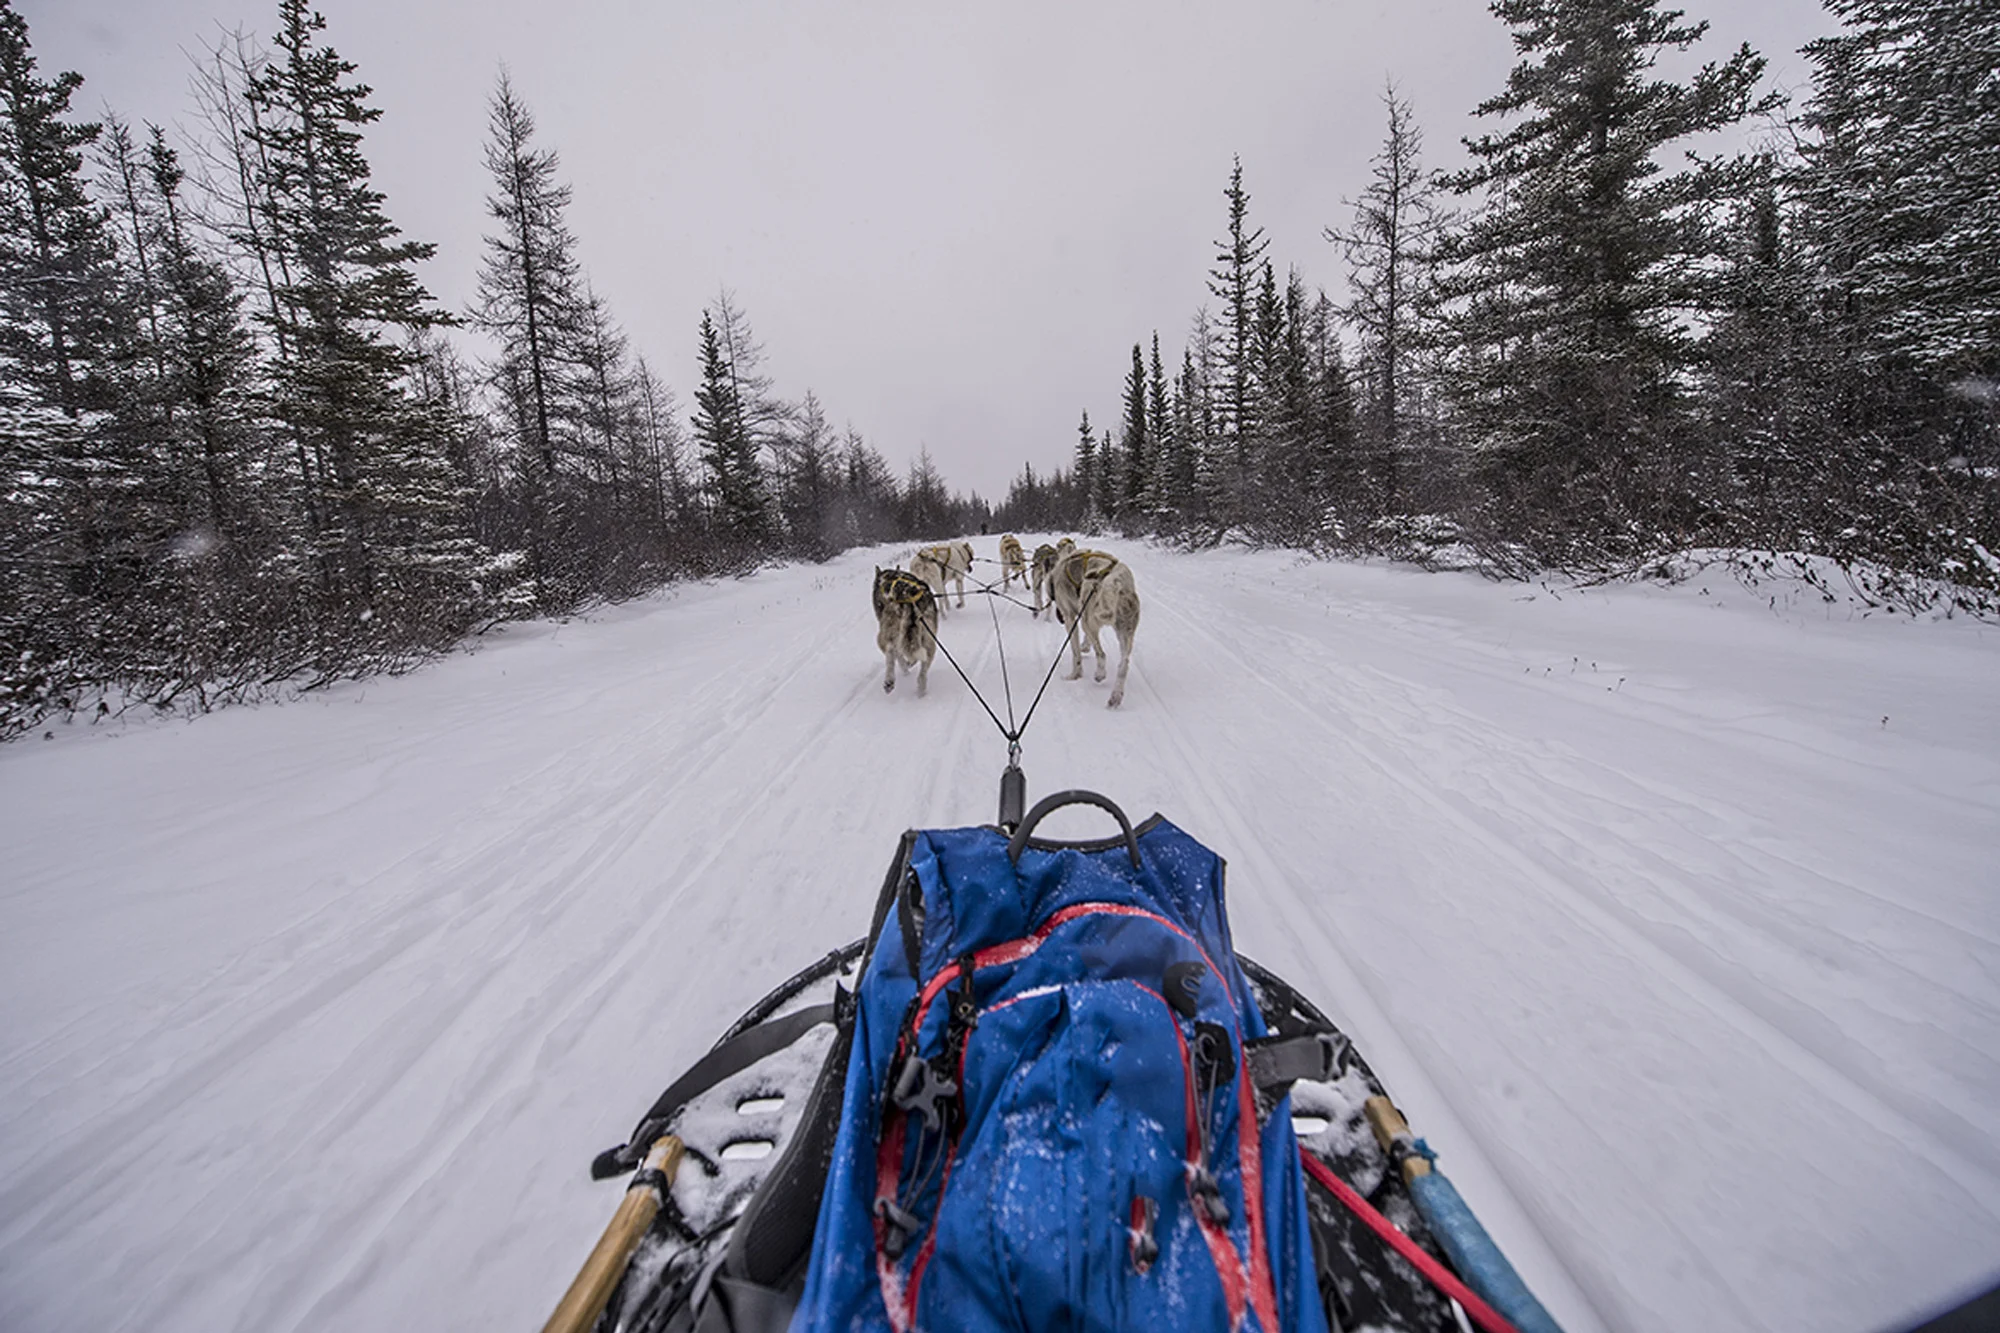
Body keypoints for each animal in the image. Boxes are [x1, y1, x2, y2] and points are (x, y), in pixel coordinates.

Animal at [876, 564, 936, 696]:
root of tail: (907, 596)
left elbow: (898, 655)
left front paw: (906, 667)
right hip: (928, 639)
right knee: (923, 668)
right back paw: (921, 689)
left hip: (886, 633)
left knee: (890, 652)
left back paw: (890, 679)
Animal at [1048, 544, 1144, 704]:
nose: (1059, 617)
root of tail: (1116, 580)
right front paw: (1085, 647)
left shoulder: (1071, 619)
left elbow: (1076, 653)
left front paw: (1074, 675)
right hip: (1125, 631)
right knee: (1123, 665)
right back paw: (1115, 696)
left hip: (1088, 621)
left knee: (1102, 654)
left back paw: (1100, 674)